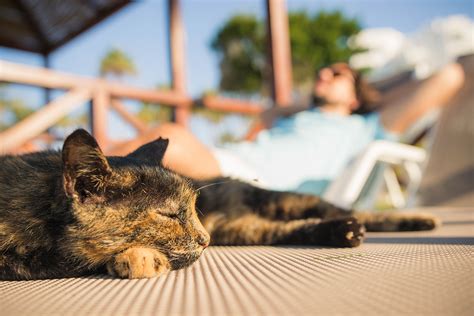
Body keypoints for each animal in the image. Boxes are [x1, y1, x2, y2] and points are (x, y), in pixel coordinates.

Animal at [0, 130, 438, 280]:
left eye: (193, 208)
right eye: (168, 214)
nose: (205, 238)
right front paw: (135, 259)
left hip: (284, 199)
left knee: (347, 209)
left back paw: (420, 222)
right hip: (245, 228)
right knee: (291, 228)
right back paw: (345, 233)